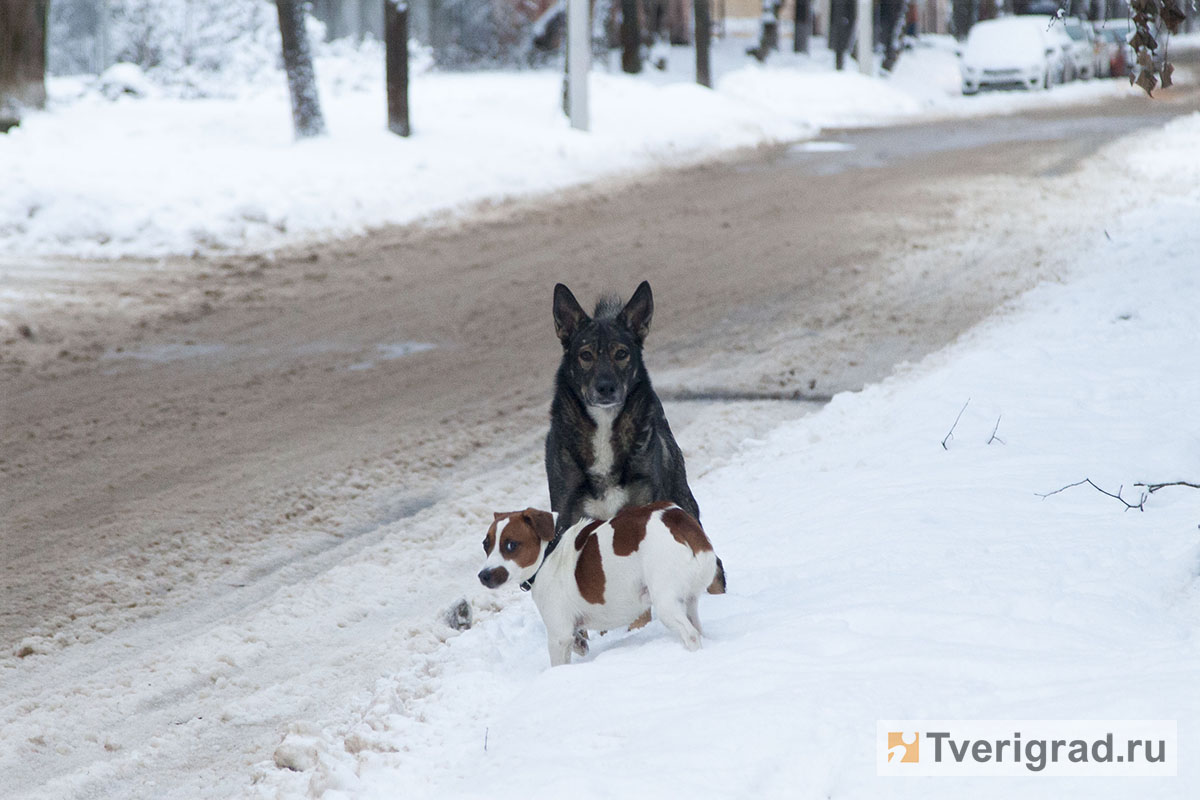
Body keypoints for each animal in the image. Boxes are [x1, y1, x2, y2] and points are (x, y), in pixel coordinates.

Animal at [475, 503, 720, 666]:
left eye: (511, 545)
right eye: (486, 544)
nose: (483, 575)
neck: (549, 552)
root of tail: (675, 519)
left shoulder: (558, 635)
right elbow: (577, 640)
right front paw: (580, 644)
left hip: (666, 603)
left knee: (691, 634)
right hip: (689, 600)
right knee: (697, 627)